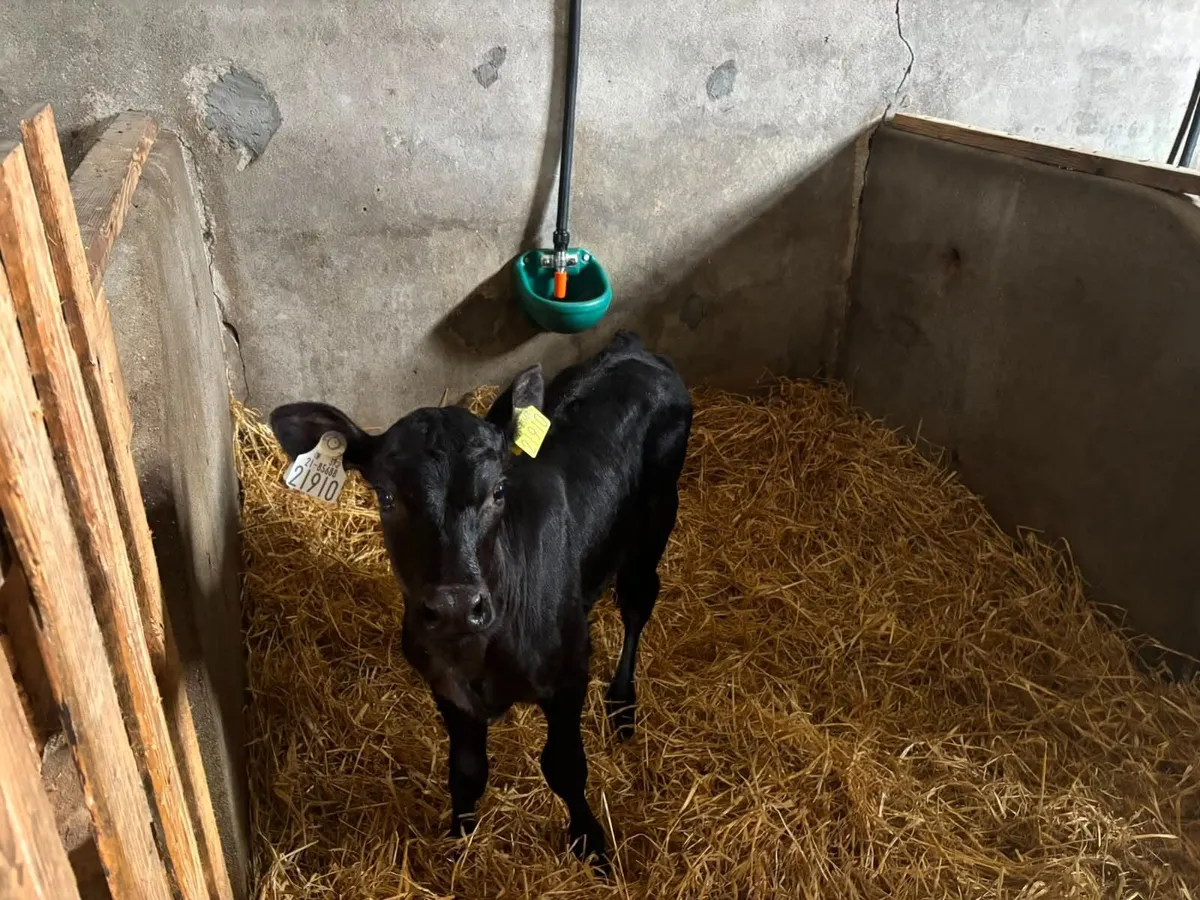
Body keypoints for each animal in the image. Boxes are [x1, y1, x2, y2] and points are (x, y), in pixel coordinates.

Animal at [269, 330, 692, 866]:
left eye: (498, 492)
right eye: (386, 497)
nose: (454, 606)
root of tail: (630, 347)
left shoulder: (569, 675)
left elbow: (564, 766)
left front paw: (590, 841)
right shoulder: (445, 686)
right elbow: (467, 771)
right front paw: (458, 845)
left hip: (656, 520)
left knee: (638, 602)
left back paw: (621, 703)